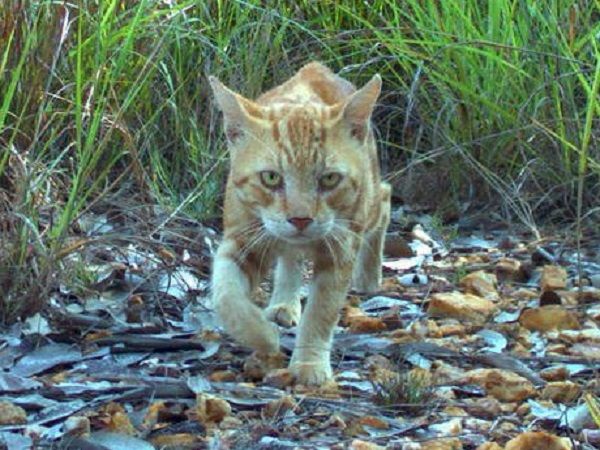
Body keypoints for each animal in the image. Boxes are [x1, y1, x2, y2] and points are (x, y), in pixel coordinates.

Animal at [209, 63, 392, 384]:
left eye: (329, 178)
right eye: (270, 178)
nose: (300, 218)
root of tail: (315, 68)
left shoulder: (340, 250)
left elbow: (321, 311)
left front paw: (309, 363)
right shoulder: (242, 239)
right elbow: (226, 295)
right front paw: (262, 335)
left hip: (367, 205)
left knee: (384, 197)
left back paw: (369, 275)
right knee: (290, 259)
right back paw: (283, 302)